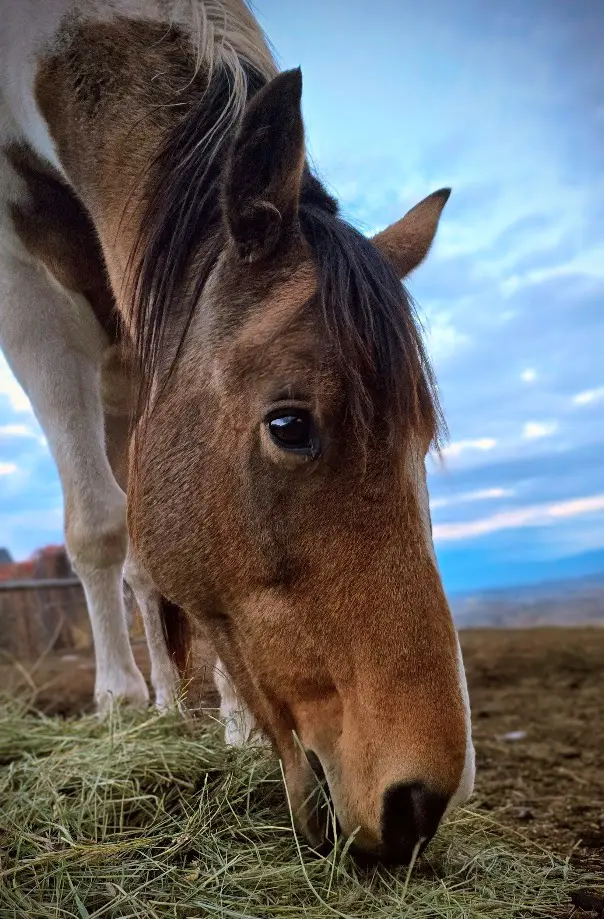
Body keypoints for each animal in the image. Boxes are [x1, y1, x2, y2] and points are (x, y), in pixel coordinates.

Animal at [0, 0, 474, 862]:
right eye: (289, 424)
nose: (419, 804)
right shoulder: (28, 303)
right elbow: (96, 528)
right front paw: (118, 708)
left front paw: (234, 730)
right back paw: (145, 706)